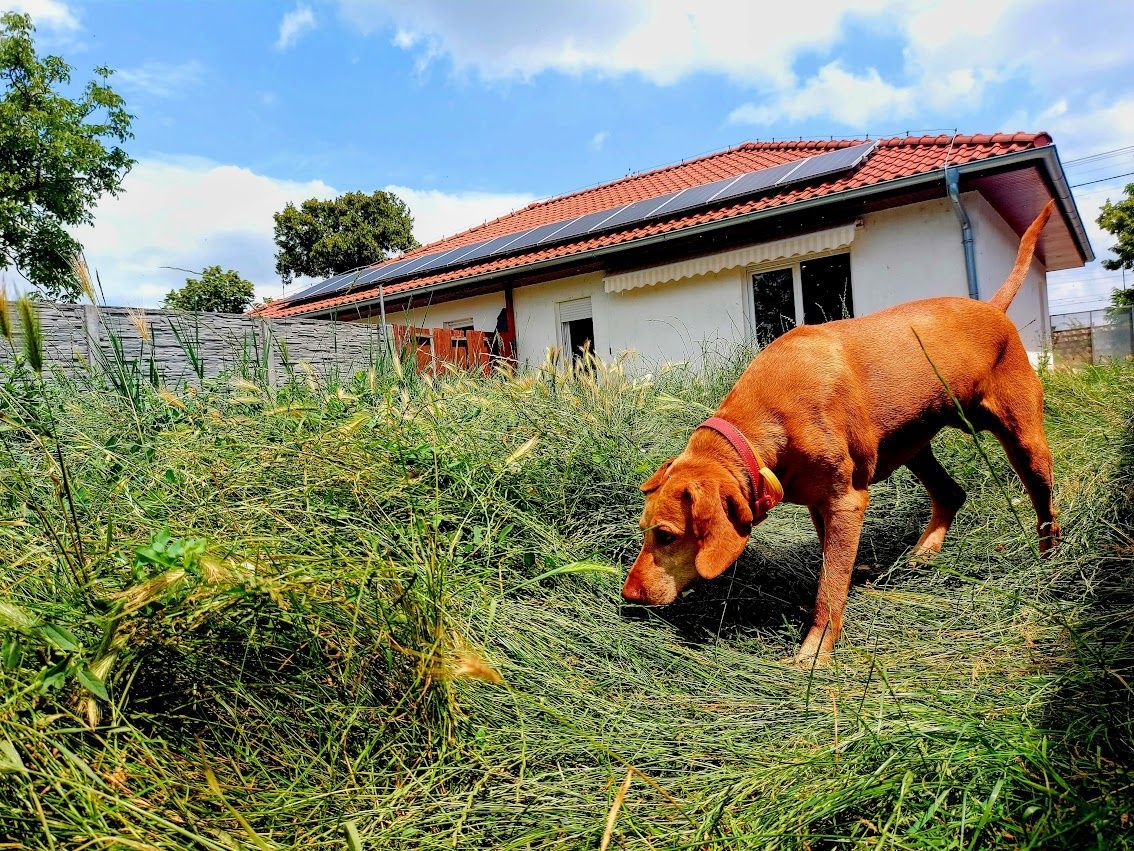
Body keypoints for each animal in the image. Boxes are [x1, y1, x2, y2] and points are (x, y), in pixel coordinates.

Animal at [621, 201, 1052, 667]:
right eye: (643, 529)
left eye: (665, 535)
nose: (628, 596)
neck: (769, 415)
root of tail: (992, 308)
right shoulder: (819, 504)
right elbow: (831, 564)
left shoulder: (846, 502)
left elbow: (829, 587)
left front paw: (815, 651)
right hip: (912, 445)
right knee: (952, 493)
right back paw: (926, 552)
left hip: (1025, 443)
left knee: (1044, 507)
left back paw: (1052, 564)